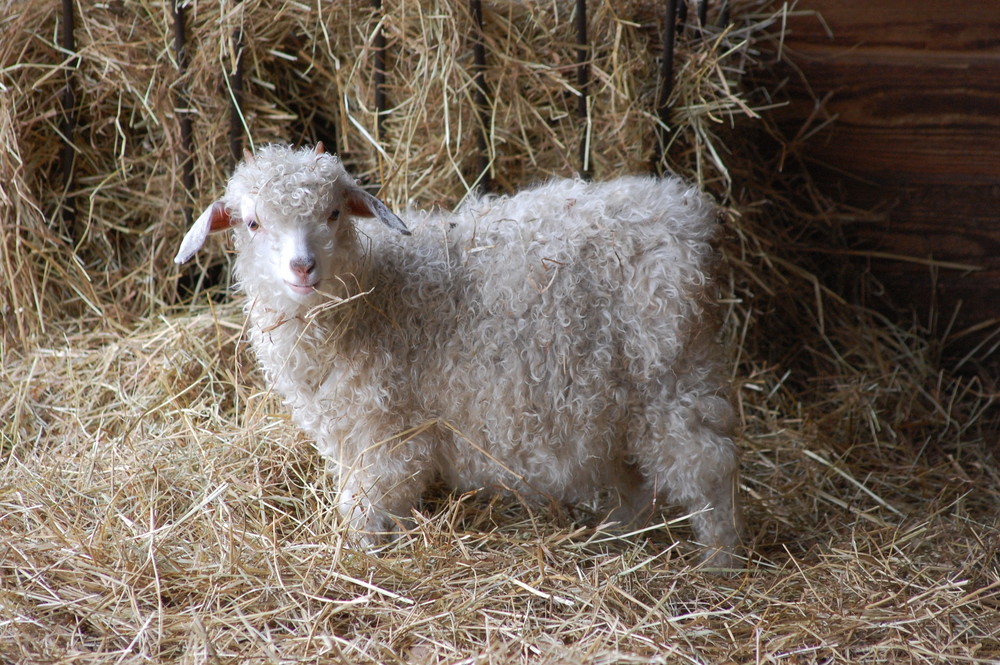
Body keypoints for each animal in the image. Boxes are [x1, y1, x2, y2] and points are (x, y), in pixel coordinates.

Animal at [176, 143, 744, 564]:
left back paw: (718, 564)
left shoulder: (392, 434)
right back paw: (613, 539)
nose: (302, 267)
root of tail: (687, 214)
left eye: (333, 213)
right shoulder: (354, 436)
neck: (373, 300)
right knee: (637, 481)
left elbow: (361, 508)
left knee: (708, 470)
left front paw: (357, 561)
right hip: (619, 400)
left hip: (672, 382)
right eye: (252, 223)